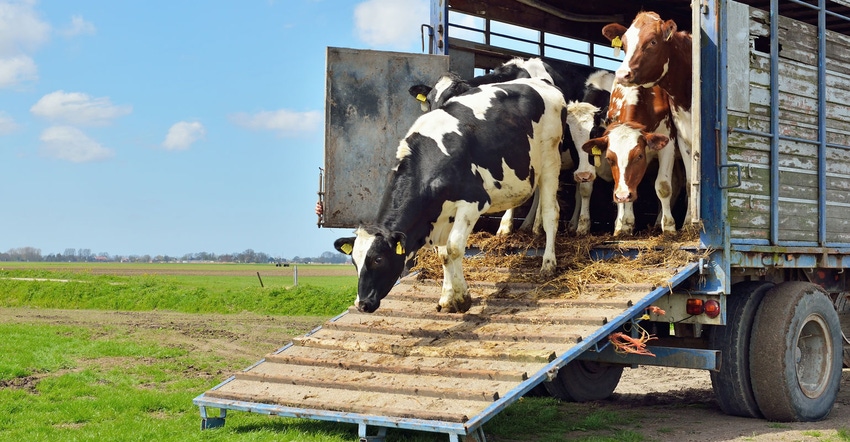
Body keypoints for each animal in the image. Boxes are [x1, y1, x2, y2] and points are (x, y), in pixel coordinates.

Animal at [334, 78, 568, 314]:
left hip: (551, 159)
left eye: (378, 259)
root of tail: (541, 82)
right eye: (354, 262)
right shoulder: (442, 215)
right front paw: (448, 297)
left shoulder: (473, 201)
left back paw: (548, 263)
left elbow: (454, 248)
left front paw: (463, 298)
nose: (362, 303)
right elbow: (443, 254)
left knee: (551, 213)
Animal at [600, 12, 692, 223]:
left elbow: (664, 186)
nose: (622, 74)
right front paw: (623, 223)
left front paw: (672, 225)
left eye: (652, 41)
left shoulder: (669, 140)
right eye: (624, 44)